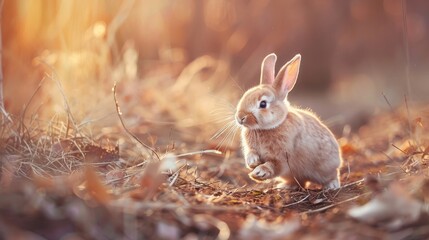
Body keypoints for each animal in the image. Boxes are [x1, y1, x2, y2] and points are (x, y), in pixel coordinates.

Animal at [234, 54, 342, 189]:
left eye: (263, 104)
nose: (240, 117)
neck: (270, 127)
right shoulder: (251, 148)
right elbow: (251, 153)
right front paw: (252, 162)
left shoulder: (282, 156)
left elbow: (275, 165)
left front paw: (259, 172)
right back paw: (285, 186)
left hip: (325, 168)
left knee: (332, 175)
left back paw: (332, 185)